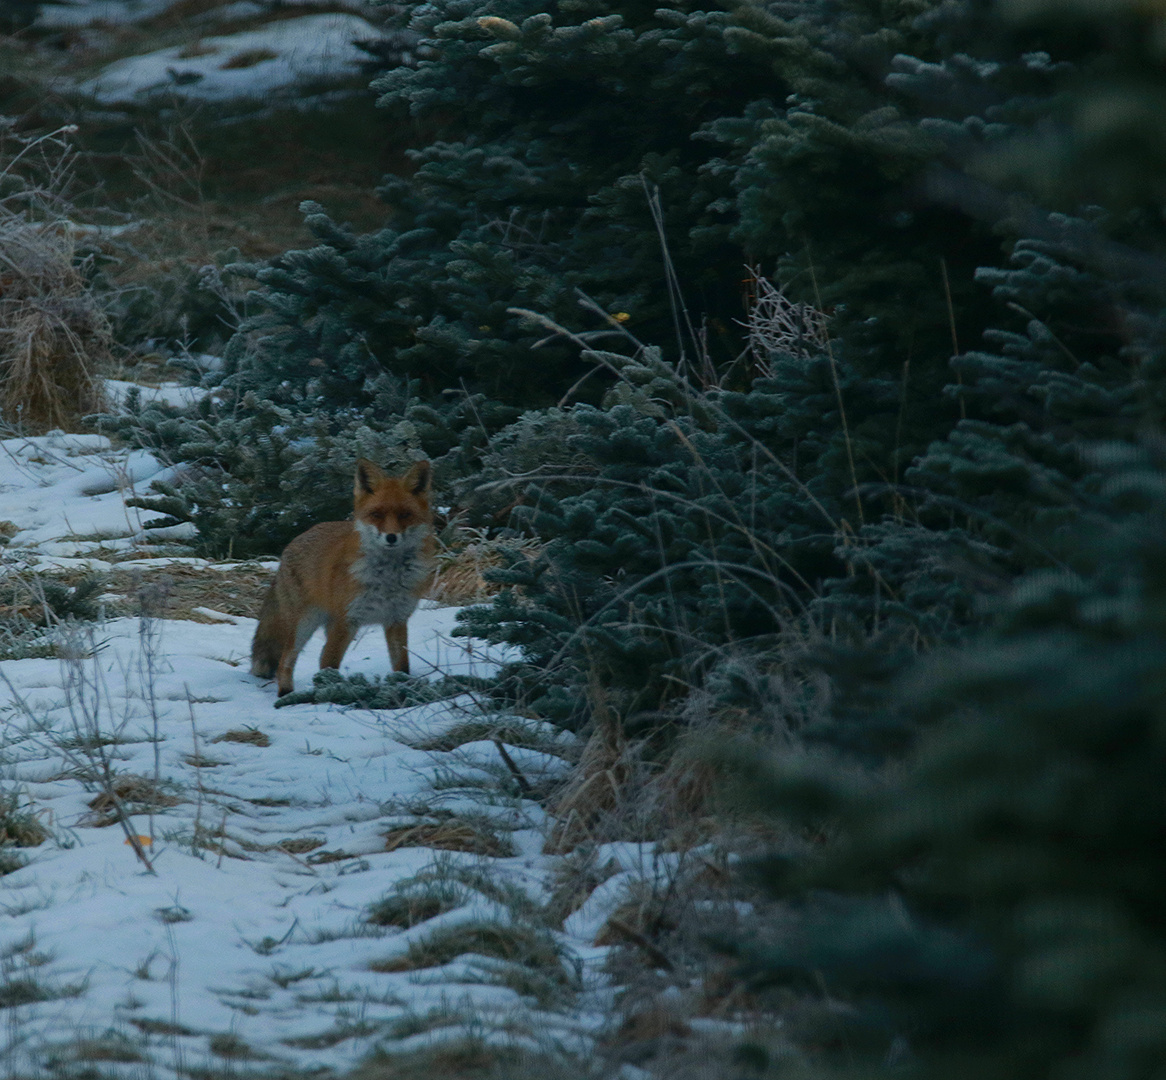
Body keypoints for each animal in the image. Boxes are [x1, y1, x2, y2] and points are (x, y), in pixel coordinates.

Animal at [248, 459, 436, 699]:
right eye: (377, 514)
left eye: (405, 514)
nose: (391, 537)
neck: (387, 578)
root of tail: (295, 539)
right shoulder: (346, 620)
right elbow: (327, 664)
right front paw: (329, 694)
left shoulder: (396, 619)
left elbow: (402, 666)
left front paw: (401, 689)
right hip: (304, 623)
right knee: (285, 660)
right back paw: (286, 695)